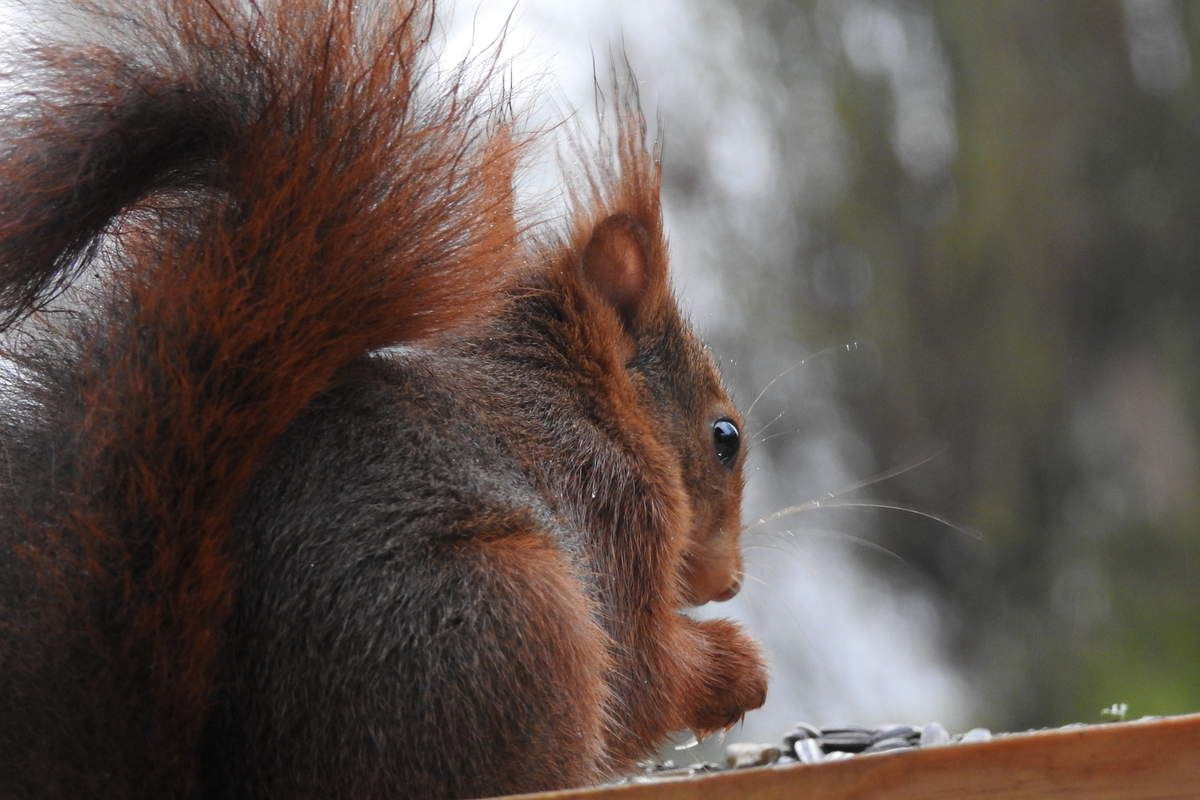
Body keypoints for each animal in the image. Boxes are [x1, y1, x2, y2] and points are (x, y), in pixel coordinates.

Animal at [0, 1, 768, 800]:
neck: (593, 406)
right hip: (512, 615)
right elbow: (642, 672)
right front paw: (738, 669)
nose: (730, 584)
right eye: (725, 438)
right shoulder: (612, 506)